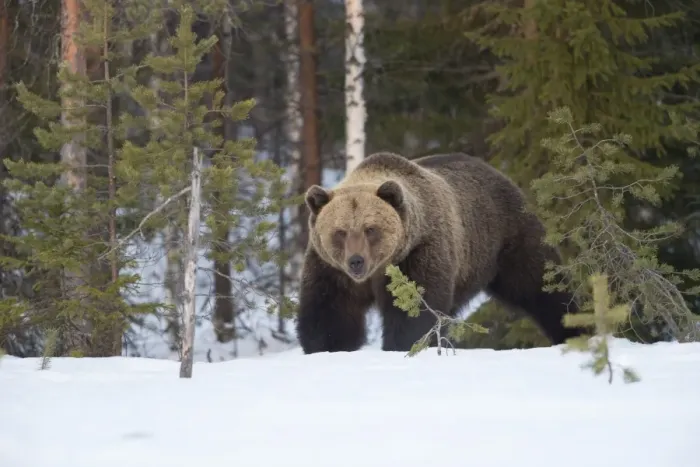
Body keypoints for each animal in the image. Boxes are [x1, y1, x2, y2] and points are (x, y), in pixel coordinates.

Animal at [295, 151, 585, 354]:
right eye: (340, 231)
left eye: (371, 229)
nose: (356, 261)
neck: (378, 270)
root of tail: (498, 172)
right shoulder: (331, 269)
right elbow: (329, 313)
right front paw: (326, 346)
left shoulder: (419, 253)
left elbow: (415, 311)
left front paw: (403, 344)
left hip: (508, 238)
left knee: (541, 284)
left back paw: (575, 329)